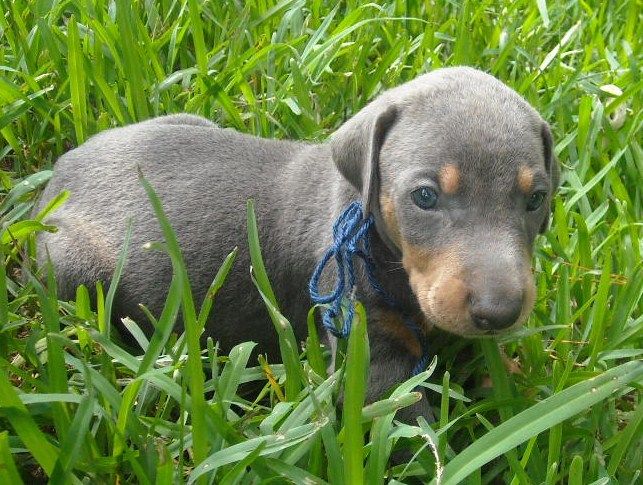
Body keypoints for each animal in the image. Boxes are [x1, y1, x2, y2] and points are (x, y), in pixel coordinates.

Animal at [35, 66, 560, 418]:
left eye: (536, 198)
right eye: (425, 197)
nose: (500, 313)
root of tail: (62, 171)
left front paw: (524, 385)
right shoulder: (369, 353)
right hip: (71, 266)